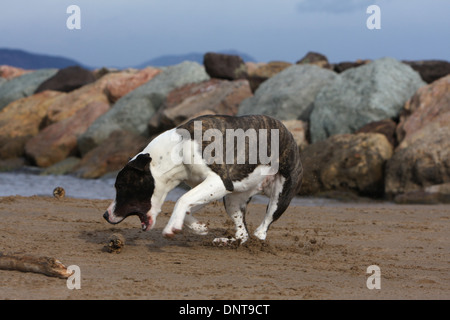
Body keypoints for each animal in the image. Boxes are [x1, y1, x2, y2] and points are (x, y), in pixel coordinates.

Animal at [103, 115, 302, 245]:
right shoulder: (209, 187)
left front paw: (171, 227)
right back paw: (226, 241)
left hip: (280, 197)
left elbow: (181, 199)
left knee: (263, 226)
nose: (105, 215)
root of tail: (290, 136)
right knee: (242, 233)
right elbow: (187, 207)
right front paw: (198, 227)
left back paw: (257, 238)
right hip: (232, 200)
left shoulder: (219, 182)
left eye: (120, 186)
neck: (176, 150)